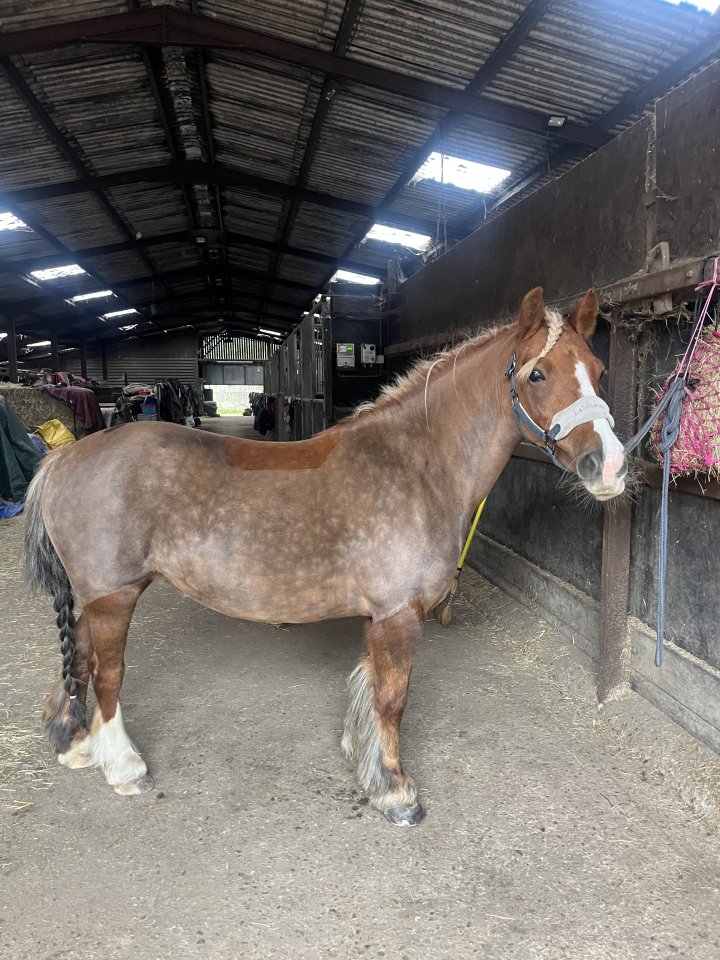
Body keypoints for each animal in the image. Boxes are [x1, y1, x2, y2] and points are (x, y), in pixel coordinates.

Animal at [23, 287, 627, 825]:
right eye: (538, 374)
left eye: (600, 370)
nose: (611, 465)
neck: (416, 465)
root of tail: (63, 458)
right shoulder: (399, 616)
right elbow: (392, 699)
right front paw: (396, 792)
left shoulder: (380, 617)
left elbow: (369, 689)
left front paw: (368, 765)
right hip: (114, 598)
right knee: (107, 674)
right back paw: (124, 767)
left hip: (92, 598)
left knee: (79, 660)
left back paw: (75, 745)